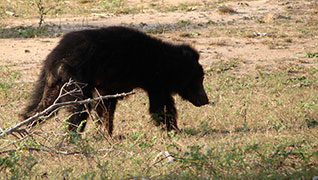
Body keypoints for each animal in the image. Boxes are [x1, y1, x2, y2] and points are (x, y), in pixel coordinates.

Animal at [23, 26, 211, 134]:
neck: (166, 63)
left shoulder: (108, 86)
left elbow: (105, 107)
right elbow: (160, 107)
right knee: (78, 109)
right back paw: (71, 136)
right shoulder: (155, 82)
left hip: (52, 82)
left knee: (43, 105)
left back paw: (25, 128)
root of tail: (57, 56)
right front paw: (173, 129)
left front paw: (106, 133)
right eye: (198, 81)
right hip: (76, 77)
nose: (205, 100)